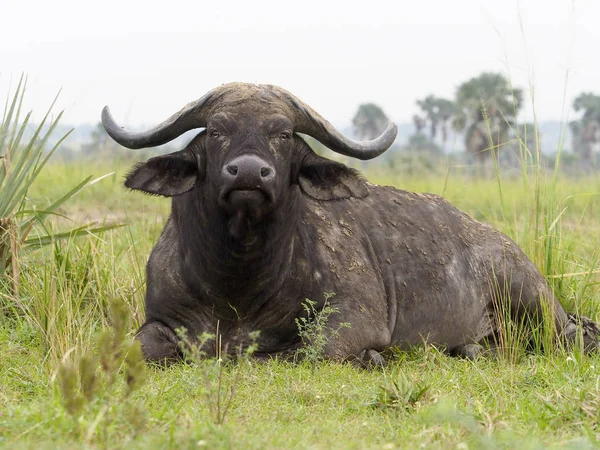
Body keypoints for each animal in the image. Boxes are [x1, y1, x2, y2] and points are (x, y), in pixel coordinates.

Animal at [102, 83, 596, 366]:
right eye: (217, 130)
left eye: (283, 134)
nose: (249, 173)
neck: (238, 281)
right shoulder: (160, 319)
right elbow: (138, 347)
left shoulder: (355, 317)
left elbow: (304, 352)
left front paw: (373, 358)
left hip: (531, 298)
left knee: (573, 335)